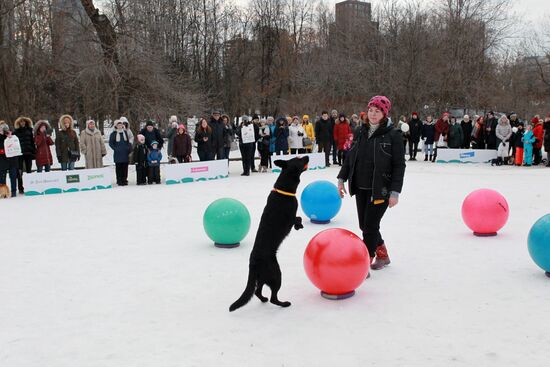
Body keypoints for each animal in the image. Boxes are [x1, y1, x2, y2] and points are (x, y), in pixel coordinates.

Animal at [230, 156, 310, 314]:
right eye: (299, 158)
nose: (307, 156)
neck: (284, 189)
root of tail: (253, 262)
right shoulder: (290, 217)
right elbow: (298, 218)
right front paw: (299, 226)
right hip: (276, 274)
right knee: (273, 297)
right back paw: (284, 304)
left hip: (262, 278)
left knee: (257, 291)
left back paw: (264, 299)